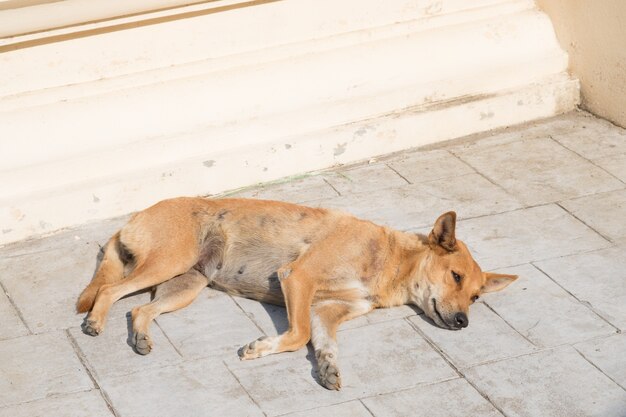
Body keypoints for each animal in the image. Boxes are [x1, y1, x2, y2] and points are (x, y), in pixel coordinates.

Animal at [75, 197, 516, 388]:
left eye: (476, 297)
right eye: (456, 277)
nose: (463, 322)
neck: (389, 259)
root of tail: (135, 216)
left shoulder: (327, 310)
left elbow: (323, 342)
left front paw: (328, 366)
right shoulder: (297, 277)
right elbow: (299, 333)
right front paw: (261, 348)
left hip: (186, 284)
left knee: (139, 311)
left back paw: (141, 337)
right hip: (168, 262)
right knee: (111, 289)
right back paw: (95, 320)